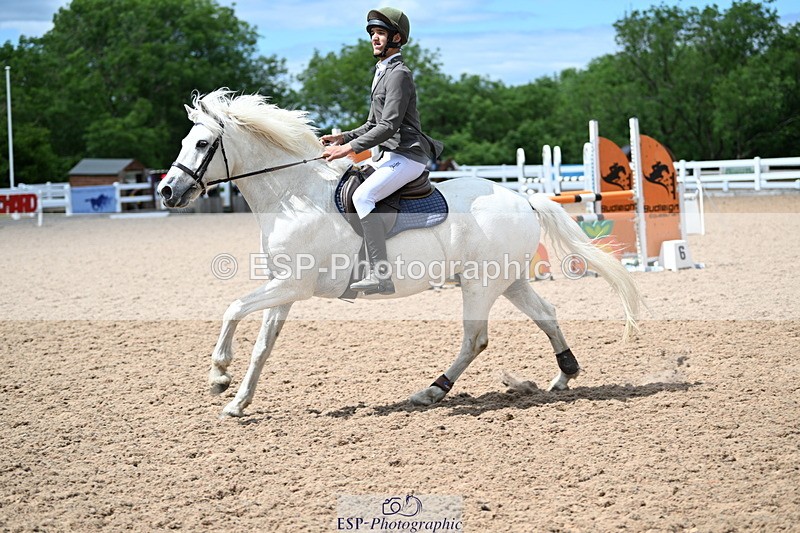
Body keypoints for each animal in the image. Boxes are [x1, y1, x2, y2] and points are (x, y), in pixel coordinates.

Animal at [158, 89, 643, 418]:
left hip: (481, 284)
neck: (294, 197)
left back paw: (432, 392)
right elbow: (262, 345)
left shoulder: (293, 284)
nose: (166, 191)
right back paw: (563, 375)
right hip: (509, 280)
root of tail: (523, 199)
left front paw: (218, 374)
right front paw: (238, 401)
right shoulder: (285, 288)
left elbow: (233, 308)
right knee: (546, 313)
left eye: (202, 144)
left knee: (475, 338)